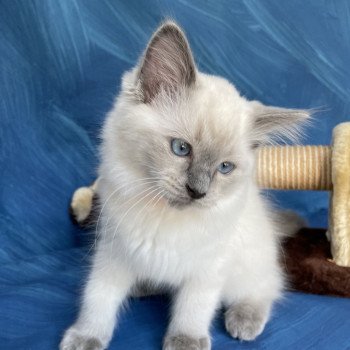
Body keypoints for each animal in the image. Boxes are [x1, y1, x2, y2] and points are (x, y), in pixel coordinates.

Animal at [60, 20, 308, 348]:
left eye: (224, 168)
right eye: (181, 149)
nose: (197, 192)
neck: (163, 218)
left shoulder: (209, 267)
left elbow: (193, 308)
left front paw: (185, 340)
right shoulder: (114, 251)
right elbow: (98, 298)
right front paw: (85, 337)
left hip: (248, 265)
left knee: (266, 287)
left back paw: (244, 320)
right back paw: (143, 287)